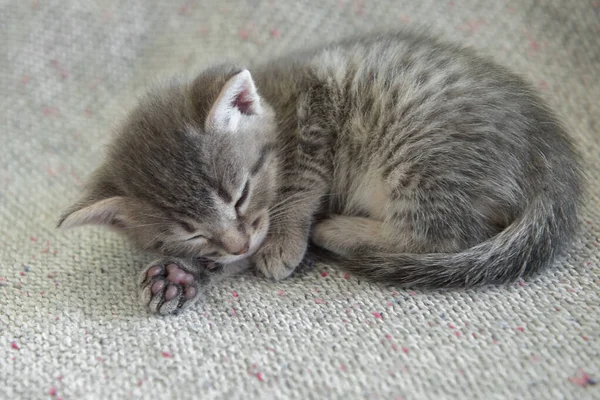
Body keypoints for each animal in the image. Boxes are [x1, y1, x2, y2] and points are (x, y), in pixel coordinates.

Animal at [57, 31, 580, 316]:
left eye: (241, 194)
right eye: (191, 233)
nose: (238, 243)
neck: (275, 103)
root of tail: (551, 149)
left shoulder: (317, 111)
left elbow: (297, 190)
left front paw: (283, 240)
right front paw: (180, 275)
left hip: (420, 155)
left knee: (441, 234)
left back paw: (338, 230)